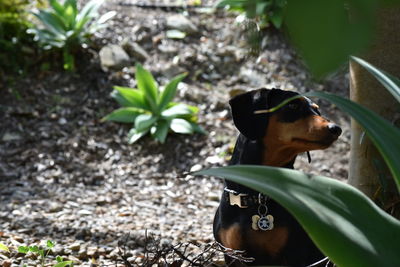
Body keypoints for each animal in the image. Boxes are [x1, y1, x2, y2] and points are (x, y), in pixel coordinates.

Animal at [214, 89, 342, 266]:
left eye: (317, 110)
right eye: (293, 105)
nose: (336, 128)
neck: (256, 197)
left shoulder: (294, 254)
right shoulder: (232, 254)